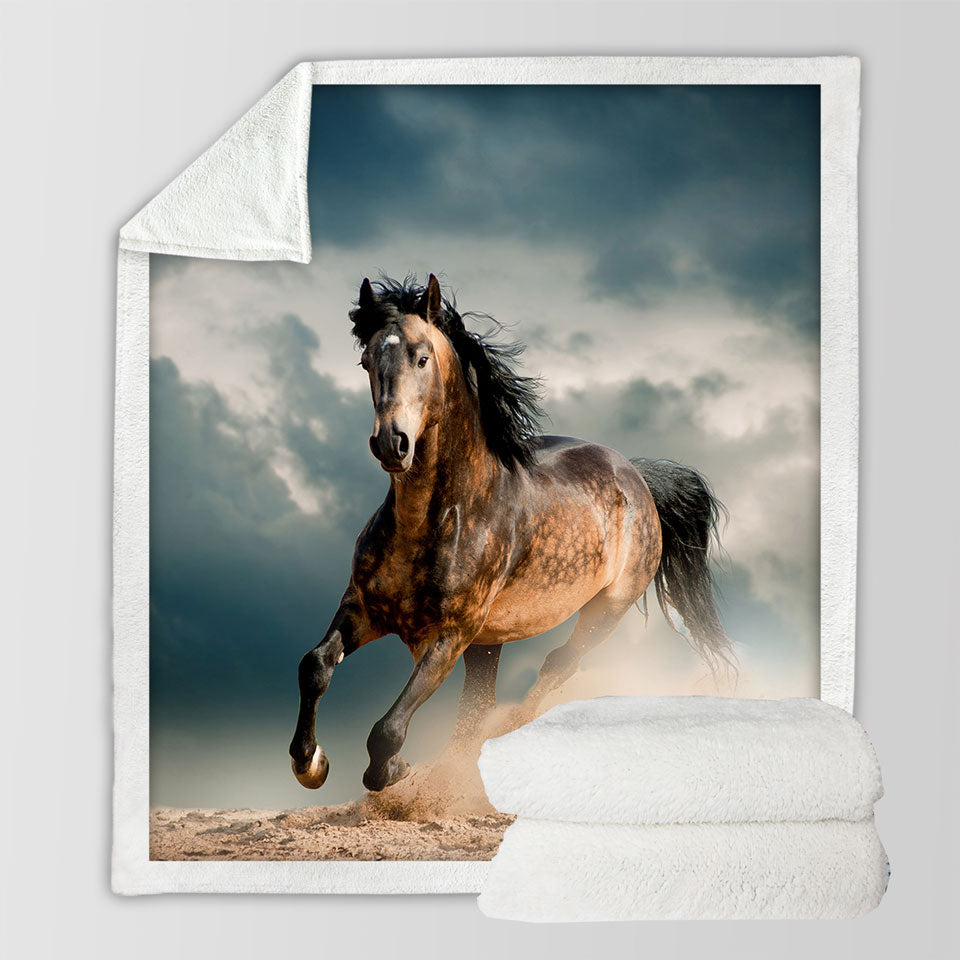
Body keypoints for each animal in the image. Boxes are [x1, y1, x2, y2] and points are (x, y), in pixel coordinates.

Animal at [289, 274, 732, 793]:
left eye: (422, 357)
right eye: (366, 361)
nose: (391, 443)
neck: (436, 520)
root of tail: (637, 476)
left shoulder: (449, 636)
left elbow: (388, 729)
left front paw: (393, 771)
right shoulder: (363, 608)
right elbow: (315, 666)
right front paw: (310, 763)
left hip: (605, 611)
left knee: (556, 665)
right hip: (489, 643)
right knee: (477, 704)